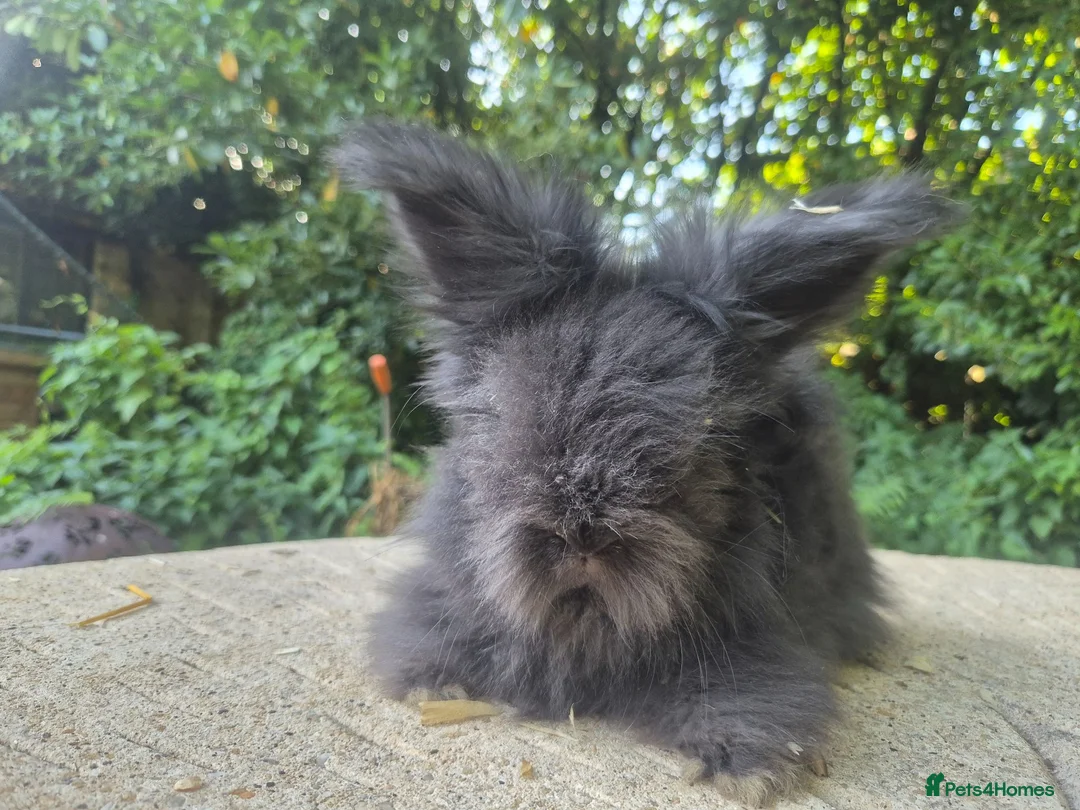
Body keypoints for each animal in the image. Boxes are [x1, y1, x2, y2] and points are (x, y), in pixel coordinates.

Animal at [333, 121, 959, 806]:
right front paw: (433, 681)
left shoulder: (754, 638)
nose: (582, 533)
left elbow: (754, 692)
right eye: (504, 425)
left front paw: (751, 767)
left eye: (697, 450)